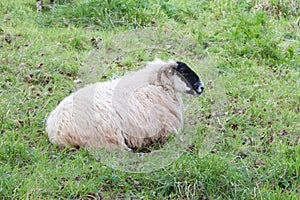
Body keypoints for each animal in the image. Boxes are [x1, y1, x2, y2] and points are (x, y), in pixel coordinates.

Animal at [45, 58, 204, 151]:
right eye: (184, 72)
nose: (201, 88)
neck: (156, 85)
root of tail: (57, 130)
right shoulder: (166, 129)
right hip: (105, 135)